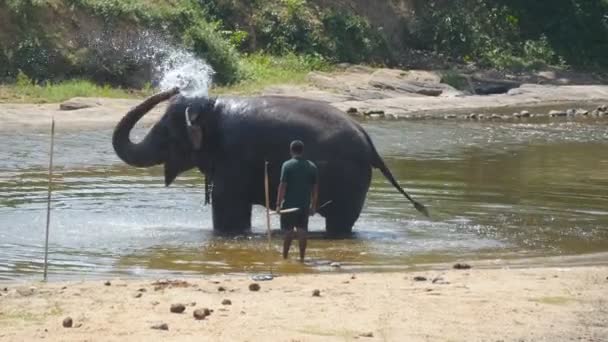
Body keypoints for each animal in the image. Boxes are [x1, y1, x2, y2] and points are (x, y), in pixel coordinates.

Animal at [114, 88, 428, 235]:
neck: (211, 107)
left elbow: (228, 208)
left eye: (166, 132)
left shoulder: (234, 157)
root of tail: (370, 143)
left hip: (350, 180)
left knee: (339, 222)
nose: (175, 87)